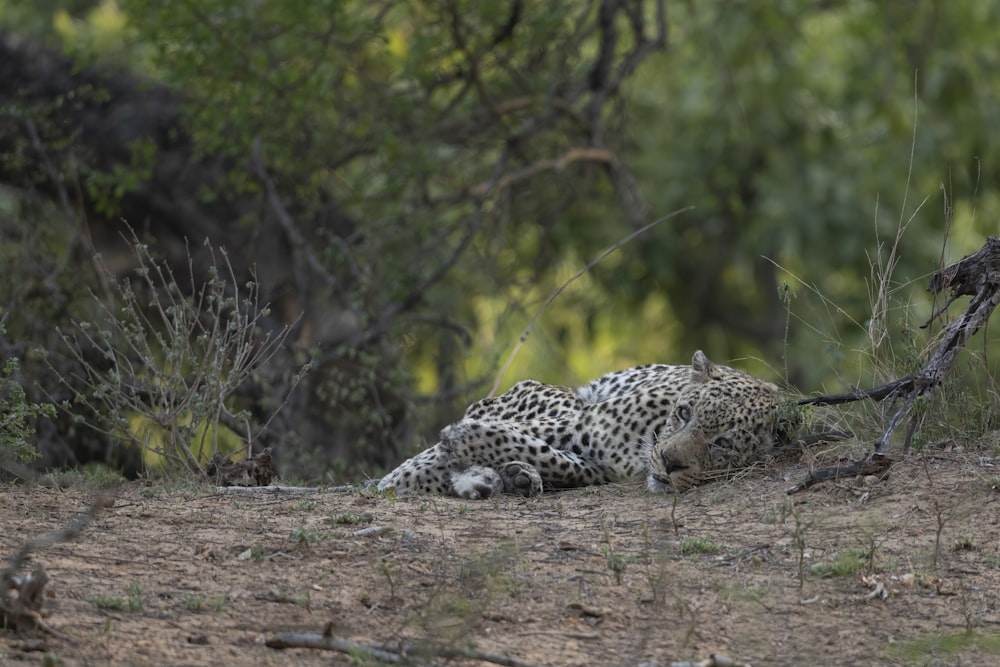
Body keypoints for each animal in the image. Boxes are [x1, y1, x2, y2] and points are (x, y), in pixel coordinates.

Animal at [376, 352, 780, 498]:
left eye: (723, 443)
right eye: (684, 413)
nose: (668, 462)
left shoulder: (597, 466)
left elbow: (552, 457)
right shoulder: (581, 424)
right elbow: (519, 439)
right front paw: (398, 481)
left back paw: (506, 479)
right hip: (550, 397)